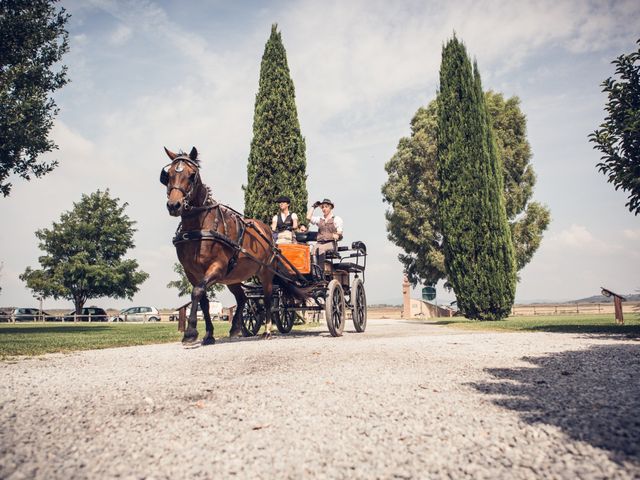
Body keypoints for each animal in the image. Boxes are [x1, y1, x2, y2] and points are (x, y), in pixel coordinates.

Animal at [161, 146, 308, 344]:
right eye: (167, 175)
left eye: (192, 175)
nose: (174, 205)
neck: (199, 228)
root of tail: (268, 232)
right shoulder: (191, 272)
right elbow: (203, 301)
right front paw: (208, 334)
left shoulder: (217, 267)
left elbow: (197, 292)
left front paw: (190, 332)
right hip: (234, 276)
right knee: (242, 298)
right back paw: (236, 327)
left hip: (266, 272)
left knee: (268, 299)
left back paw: (267, 330)